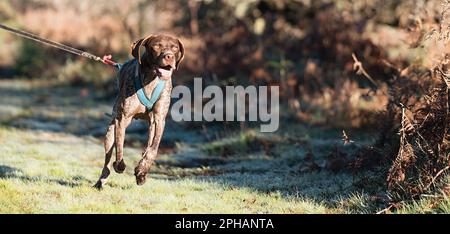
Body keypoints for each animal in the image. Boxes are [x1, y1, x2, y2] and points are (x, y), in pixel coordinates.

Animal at [94, 34, 184, 189]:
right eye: (157, 46)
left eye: (174, 48)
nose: (169, 56)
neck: (151, 79)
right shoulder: (122, 119)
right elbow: (120, 147)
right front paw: (119, 165)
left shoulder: (159, 120)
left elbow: (153, 149)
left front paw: (142, 171)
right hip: (110, 132)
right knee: (107, 161)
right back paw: (101, 180)